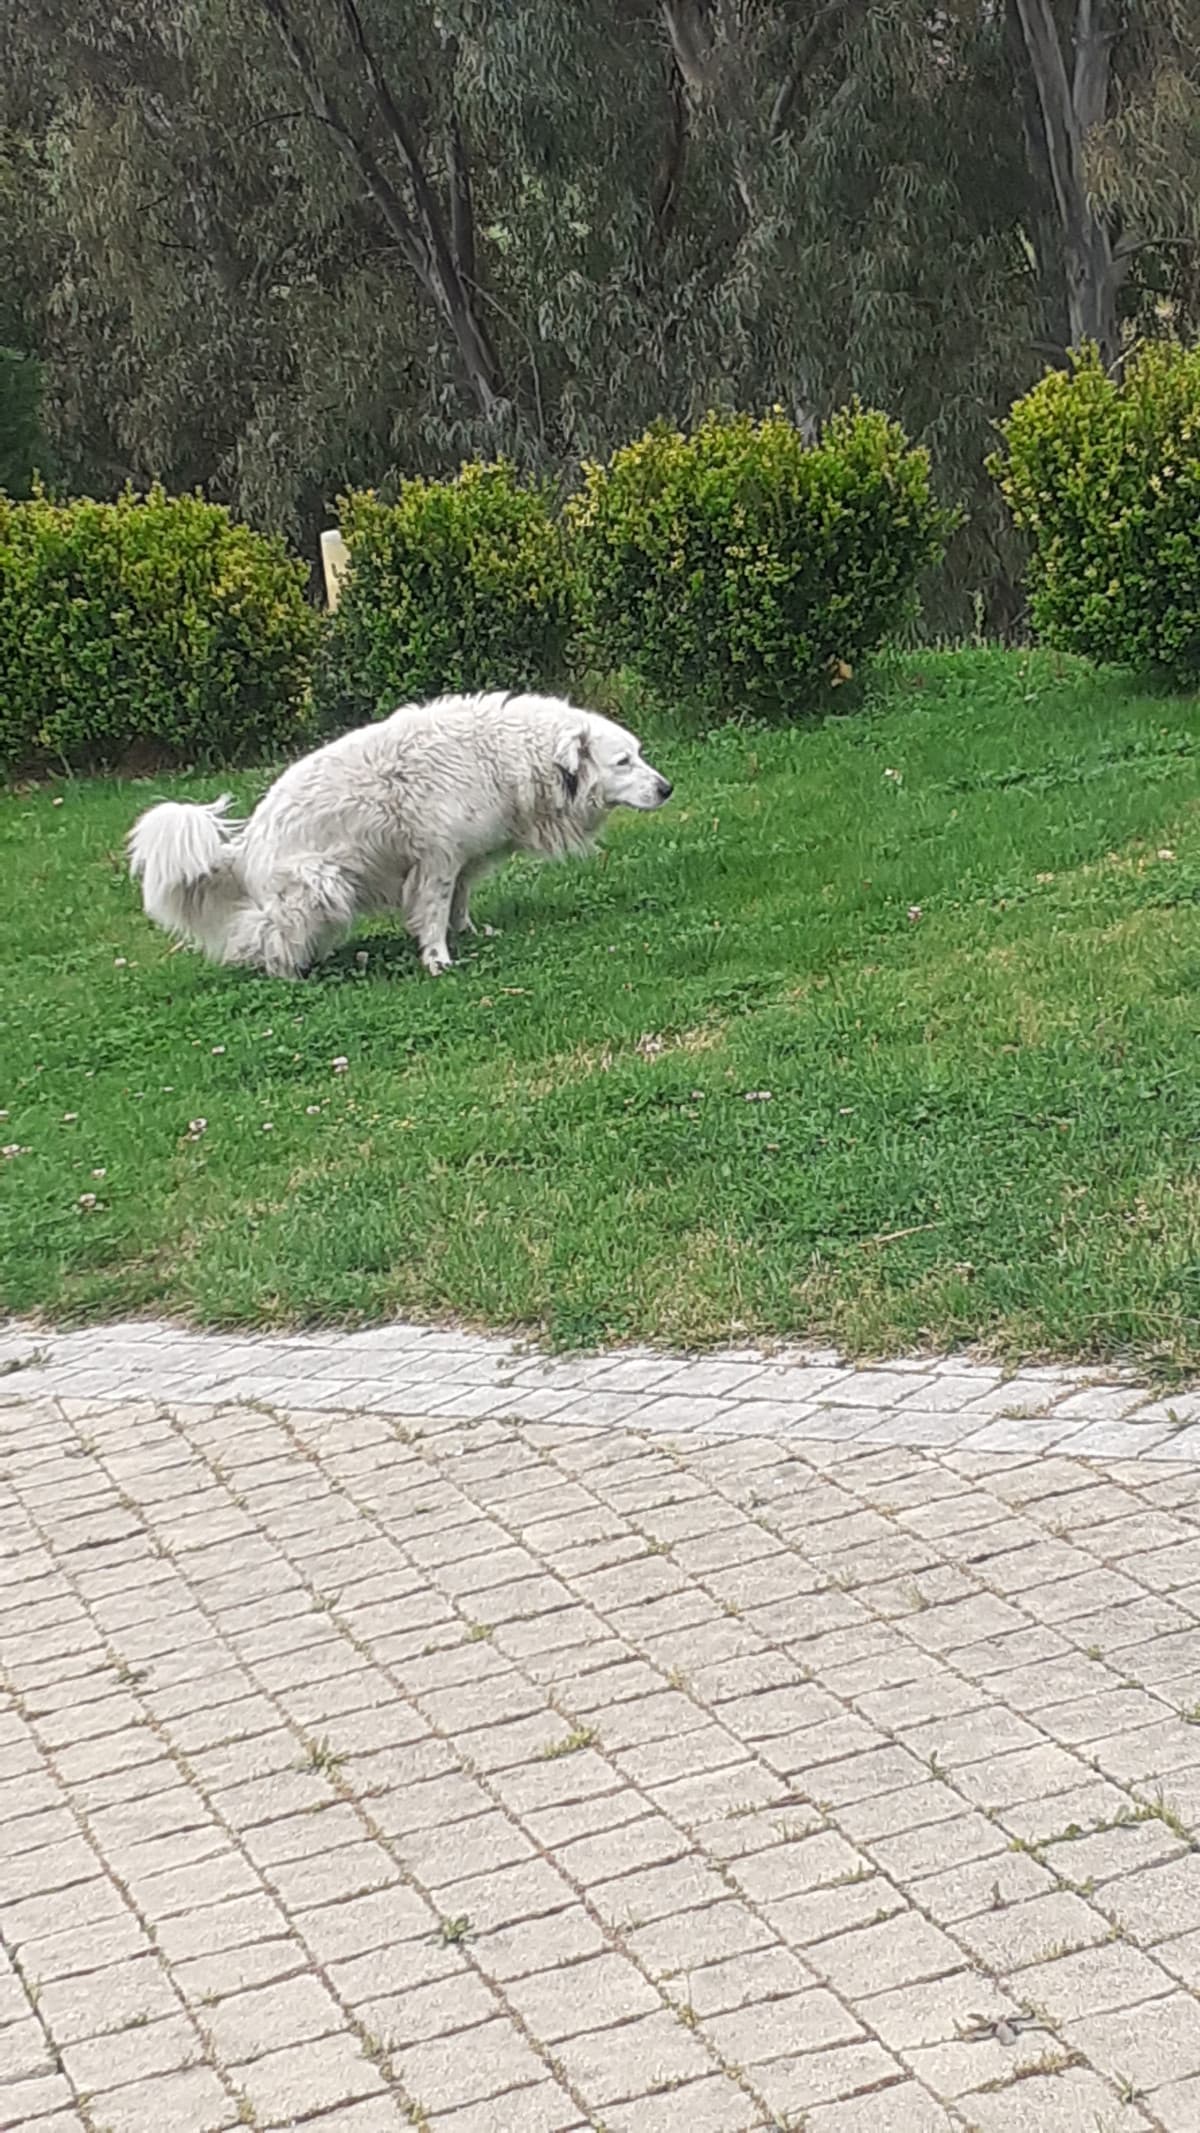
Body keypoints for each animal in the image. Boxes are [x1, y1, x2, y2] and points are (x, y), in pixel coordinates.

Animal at [133, 691, 677, 976]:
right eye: (623, 762)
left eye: (639, 754)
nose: (667, 788)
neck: (508, 755)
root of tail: (246, 845)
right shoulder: (434, 860)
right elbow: (433, 914)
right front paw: (438, 959)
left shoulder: (462, 860)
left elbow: (458, 903)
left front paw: (468, 933)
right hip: (320, 886)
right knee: (259, 933)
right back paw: (286, 970)